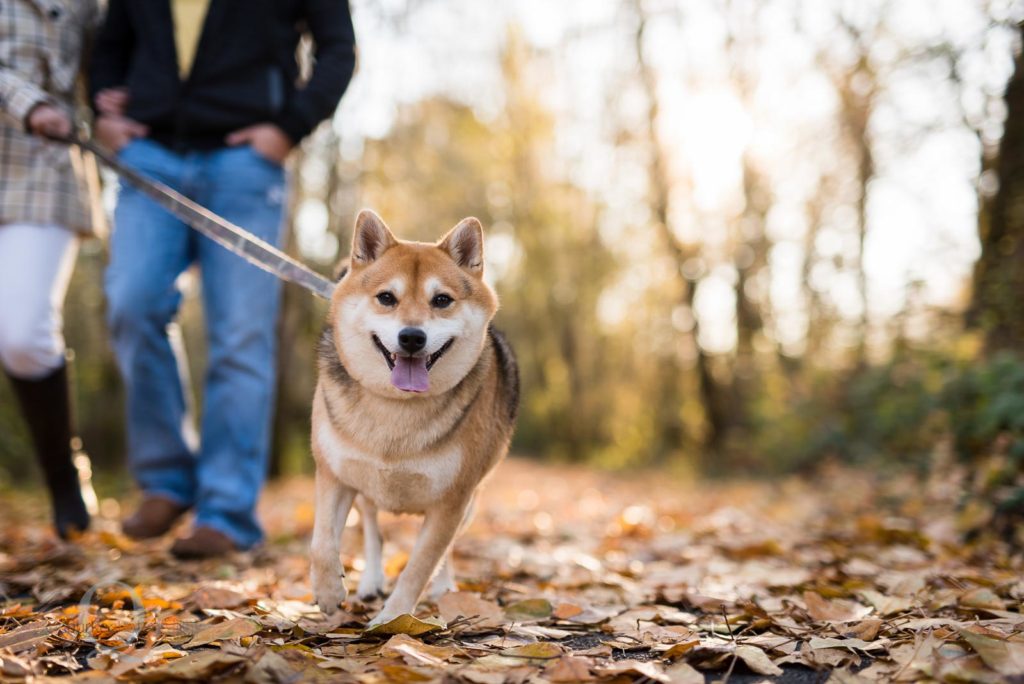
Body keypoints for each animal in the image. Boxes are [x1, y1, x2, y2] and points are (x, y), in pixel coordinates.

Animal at [309, 208, 520, 626]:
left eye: (442, 300)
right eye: (386, 298)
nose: (411, 337)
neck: (397, 407)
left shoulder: (452, 501)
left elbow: (420, 566)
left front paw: (391, 621)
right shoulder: (333, 473)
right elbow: (322, 541)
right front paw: (328, 591)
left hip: (471, 503)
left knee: (445, 553)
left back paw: (443, 587)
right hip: (364, 490)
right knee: (372, 530)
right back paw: (370, 581)